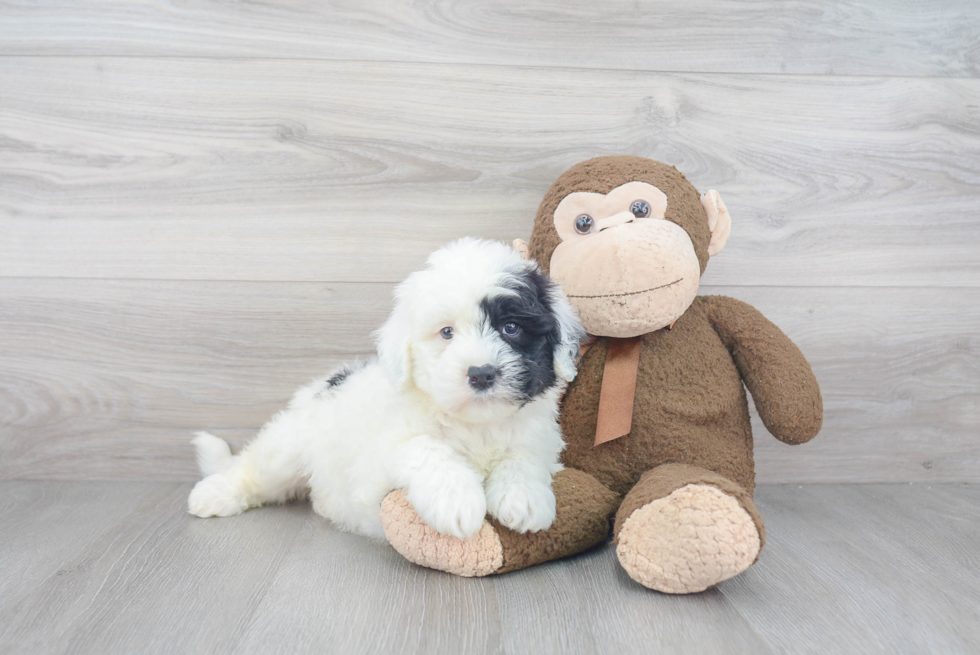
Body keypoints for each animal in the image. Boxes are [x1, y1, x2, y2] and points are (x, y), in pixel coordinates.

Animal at [188, 238, 580, 540]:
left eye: (511, 328)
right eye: (446, 332)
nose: (481, 374)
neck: (475, 426)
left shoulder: (540, 439)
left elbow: (524, 456)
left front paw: (524, 499)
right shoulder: (377, 467)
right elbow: (424, 447)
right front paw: (457, 500)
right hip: (289, 447)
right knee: (253, 470)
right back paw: (212, 494)